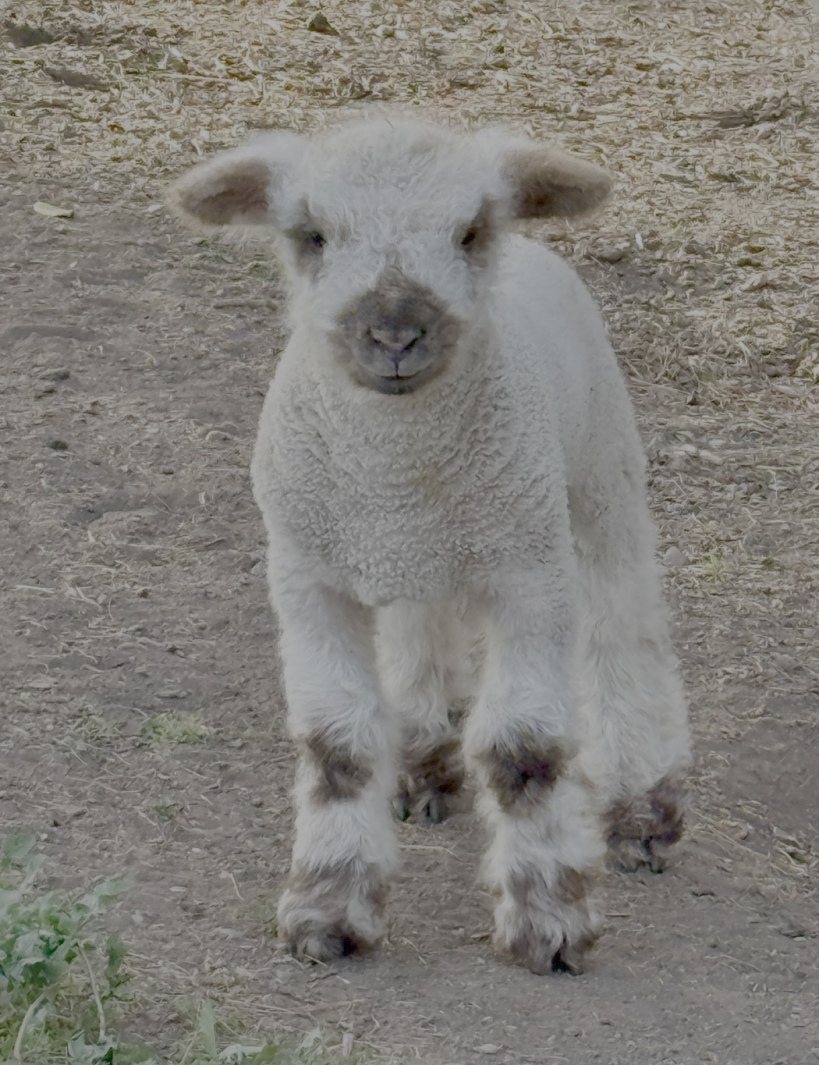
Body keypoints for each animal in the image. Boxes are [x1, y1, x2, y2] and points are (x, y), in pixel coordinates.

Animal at [168, 114, 691, 975]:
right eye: (311, 235)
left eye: (469, 231)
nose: (394, 333)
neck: (397, 472)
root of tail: (536, 250)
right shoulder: (309, 576)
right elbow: (337, 744)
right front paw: (326, 911)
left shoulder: (528, 574)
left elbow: (523, 751)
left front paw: (548, 920)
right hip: (429, 550)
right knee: (421, 624)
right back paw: (423, 765)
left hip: (599, 478)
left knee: (625, 629)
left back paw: (642, 808)